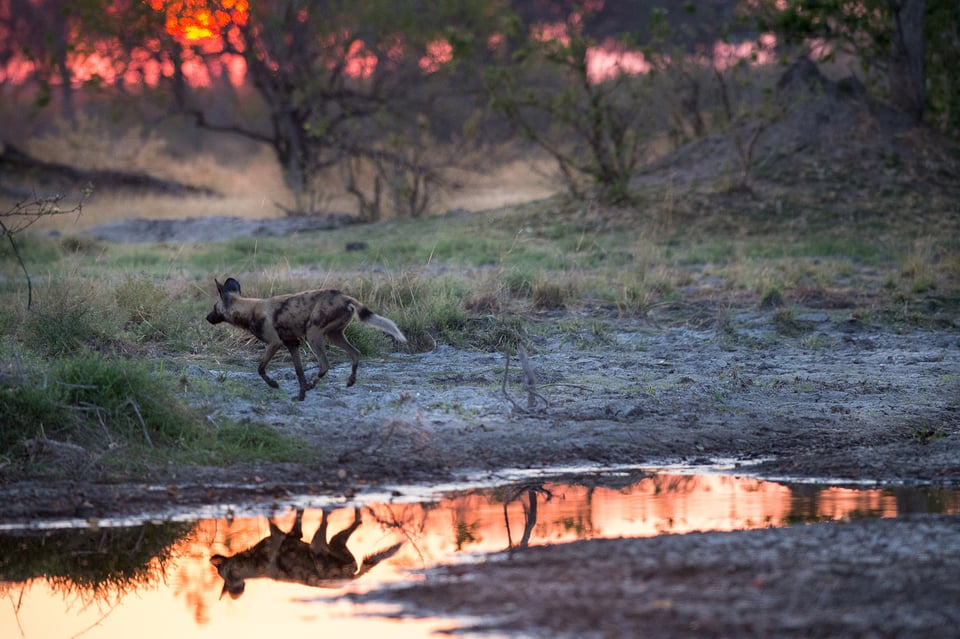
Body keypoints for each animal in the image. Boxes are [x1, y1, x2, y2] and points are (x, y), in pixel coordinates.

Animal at [206, 278, 404, 402]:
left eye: (214, 308)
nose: (207, 317)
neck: (249, 309)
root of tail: (344, 296)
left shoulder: (274, 343)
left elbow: (260, 369)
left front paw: (274, 384)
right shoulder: (292, 344)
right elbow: (299, 372)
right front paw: (300, 397)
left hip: (313, 334)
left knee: (325, 364)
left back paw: (311, 386)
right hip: (334, 335)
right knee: (355, 353)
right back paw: (349, 381)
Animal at [212, 510, 404, 600]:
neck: (251, 563)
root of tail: (352, 578)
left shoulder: (278, 535)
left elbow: (271, 519)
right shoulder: (294, 534)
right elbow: (299, 515)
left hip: (318, 545)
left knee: (329, 518)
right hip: (332, 542)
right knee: (357, 521)